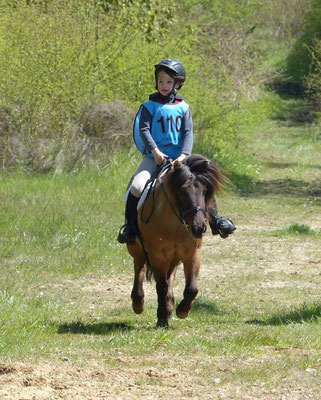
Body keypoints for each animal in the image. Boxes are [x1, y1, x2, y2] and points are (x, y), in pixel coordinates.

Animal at [125, 155, 225, 326]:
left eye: (205, 191)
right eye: (182, 191)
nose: (198, 228)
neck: (175, 223)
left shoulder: (192, 254)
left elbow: (192, 287)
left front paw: (182, 310)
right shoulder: (157, 256)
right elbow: (161, 286)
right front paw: (162, 317)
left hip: (174, 257)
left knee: (170, 275)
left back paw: (170, 306)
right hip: (136, 248)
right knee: (139, 267)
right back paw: (138, 302)